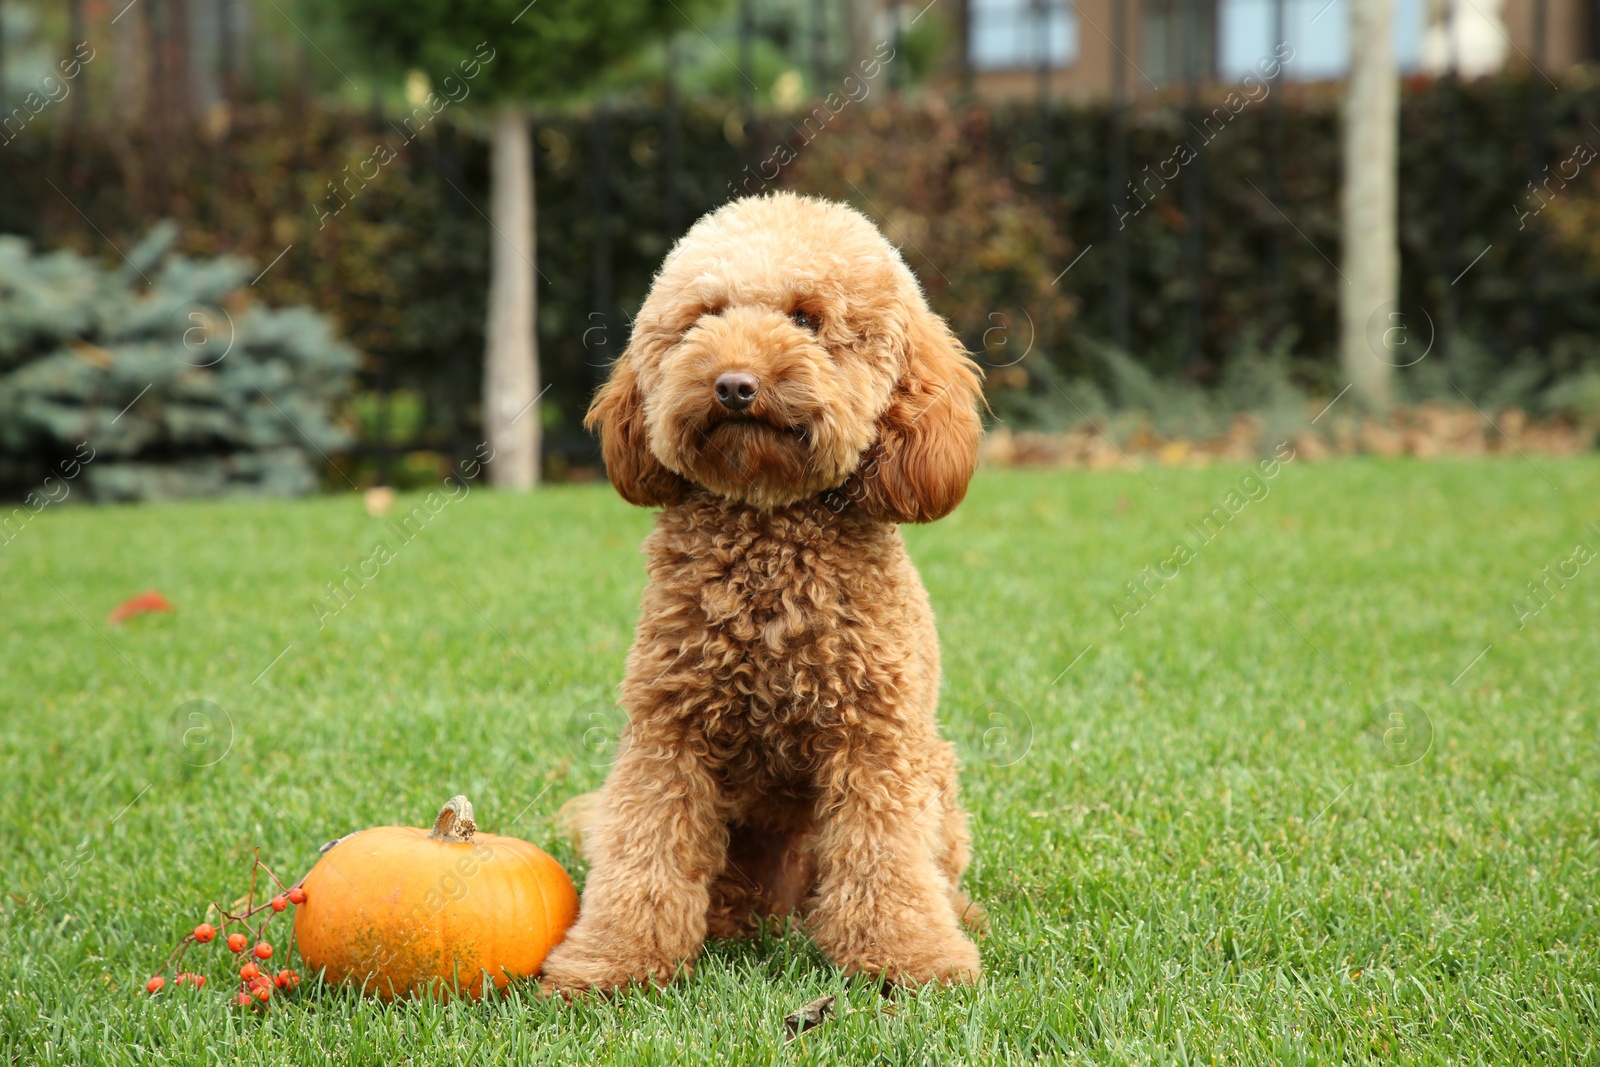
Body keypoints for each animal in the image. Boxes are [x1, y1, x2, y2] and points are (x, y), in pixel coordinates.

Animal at [540, 189, 985, 991]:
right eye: (706, 315)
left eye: (808, 319)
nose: (734, 385)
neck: (769, 526)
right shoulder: (667, 731)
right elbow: (645, 849)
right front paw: (610, 961)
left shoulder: (875, 738)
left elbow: (887, 858)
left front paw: (911, 957)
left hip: (934, 772)